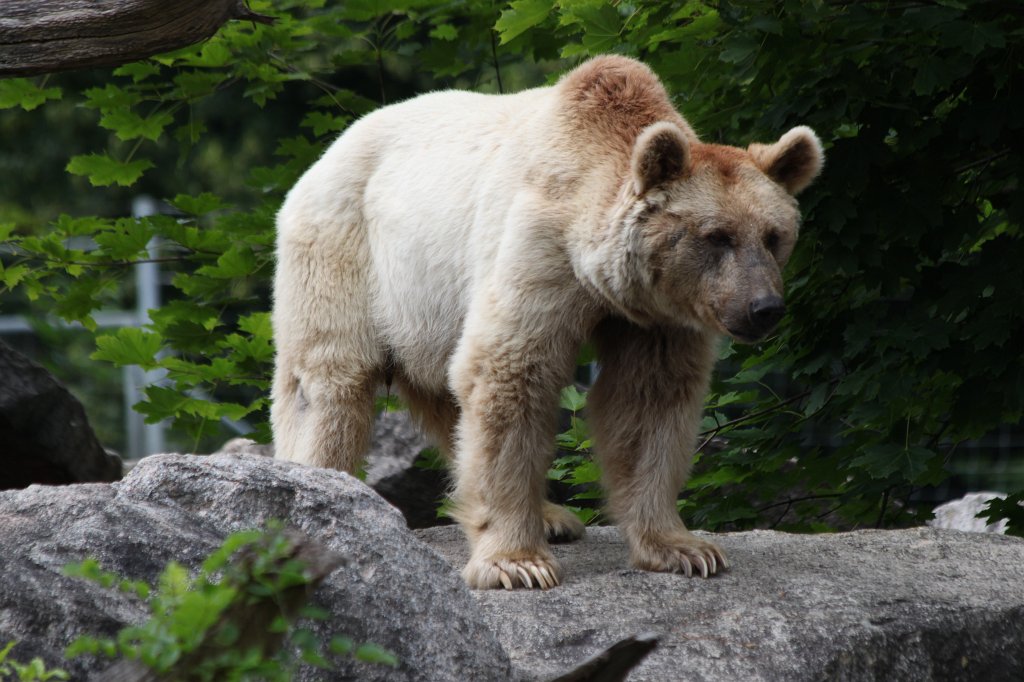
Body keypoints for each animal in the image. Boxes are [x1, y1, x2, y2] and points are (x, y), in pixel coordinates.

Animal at [271, 55, 823, 590]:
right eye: (717, 236)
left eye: (773, 236)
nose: (764, 307)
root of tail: (330, 150)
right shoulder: (538, 252)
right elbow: (513, 372)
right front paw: (517, 563)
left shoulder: (656, 319)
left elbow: (648, 400)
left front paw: (683, 548)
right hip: (349, 253)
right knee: (330, 383)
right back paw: (324, 492)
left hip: (426, 312)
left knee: (444, 398)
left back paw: (553, 516)